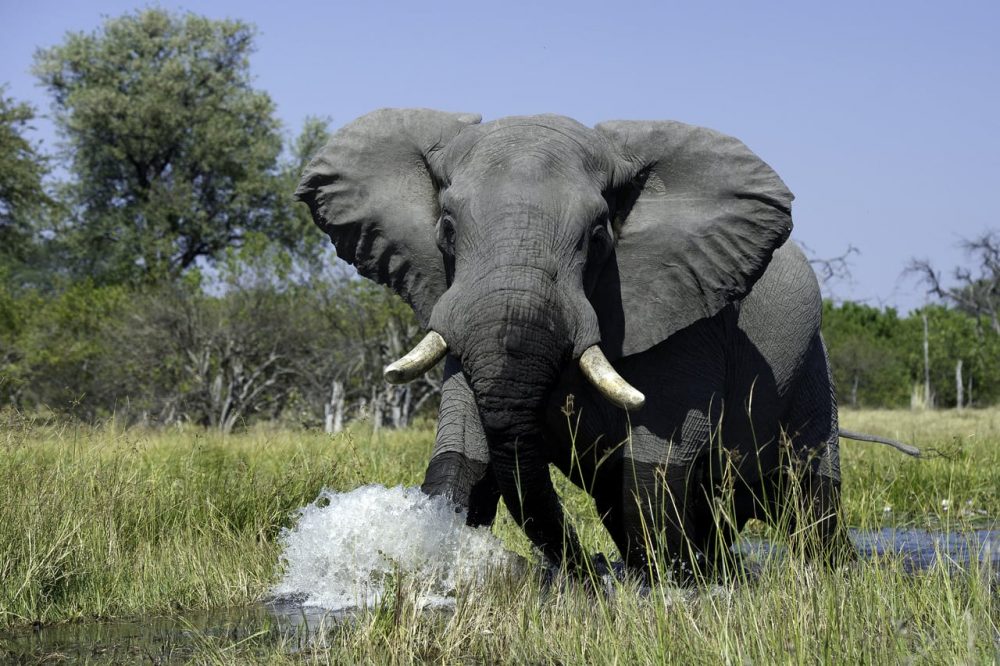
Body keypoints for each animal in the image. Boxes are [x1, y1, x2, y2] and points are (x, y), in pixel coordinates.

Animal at [294, 106, 860, 580]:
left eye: (598, 237)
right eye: (447, 230)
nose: (586, 569)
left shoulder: (690, 320)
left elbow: (657, 462)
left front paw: (668, 584)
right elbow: (462, 452)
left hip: (812, 367)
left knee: (811, 494)